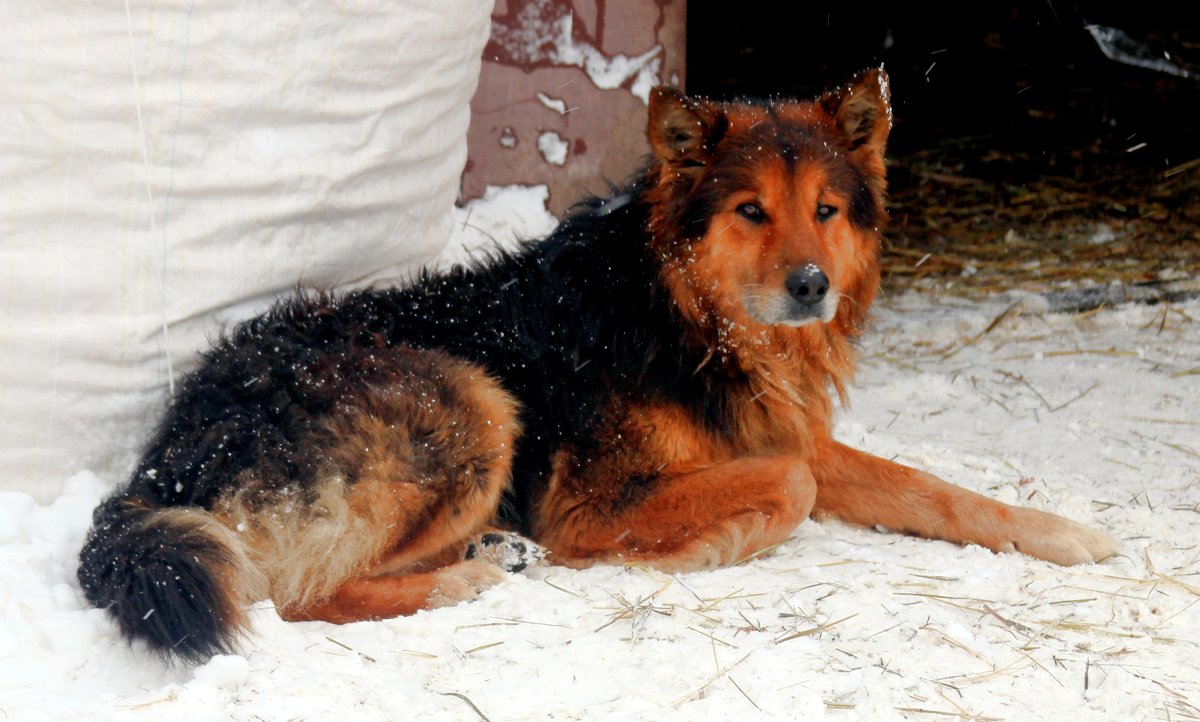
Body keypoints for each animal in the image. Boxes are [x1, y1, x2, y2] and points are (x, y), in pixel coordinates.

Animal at [79, 70, 1118, 662]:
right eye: (750, 210)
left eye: (826, 209)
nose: (813, 286)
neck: (679, 315)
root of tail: (161, 458)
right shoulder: (595, 497)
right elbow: (791, 485)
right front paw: (709, 545)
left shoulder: (779, 429)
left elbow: (930, 490)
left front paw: (1066, 533)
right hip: (473, 402)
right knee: (293, 593)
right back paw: (463, 581)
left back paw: (487, 552)